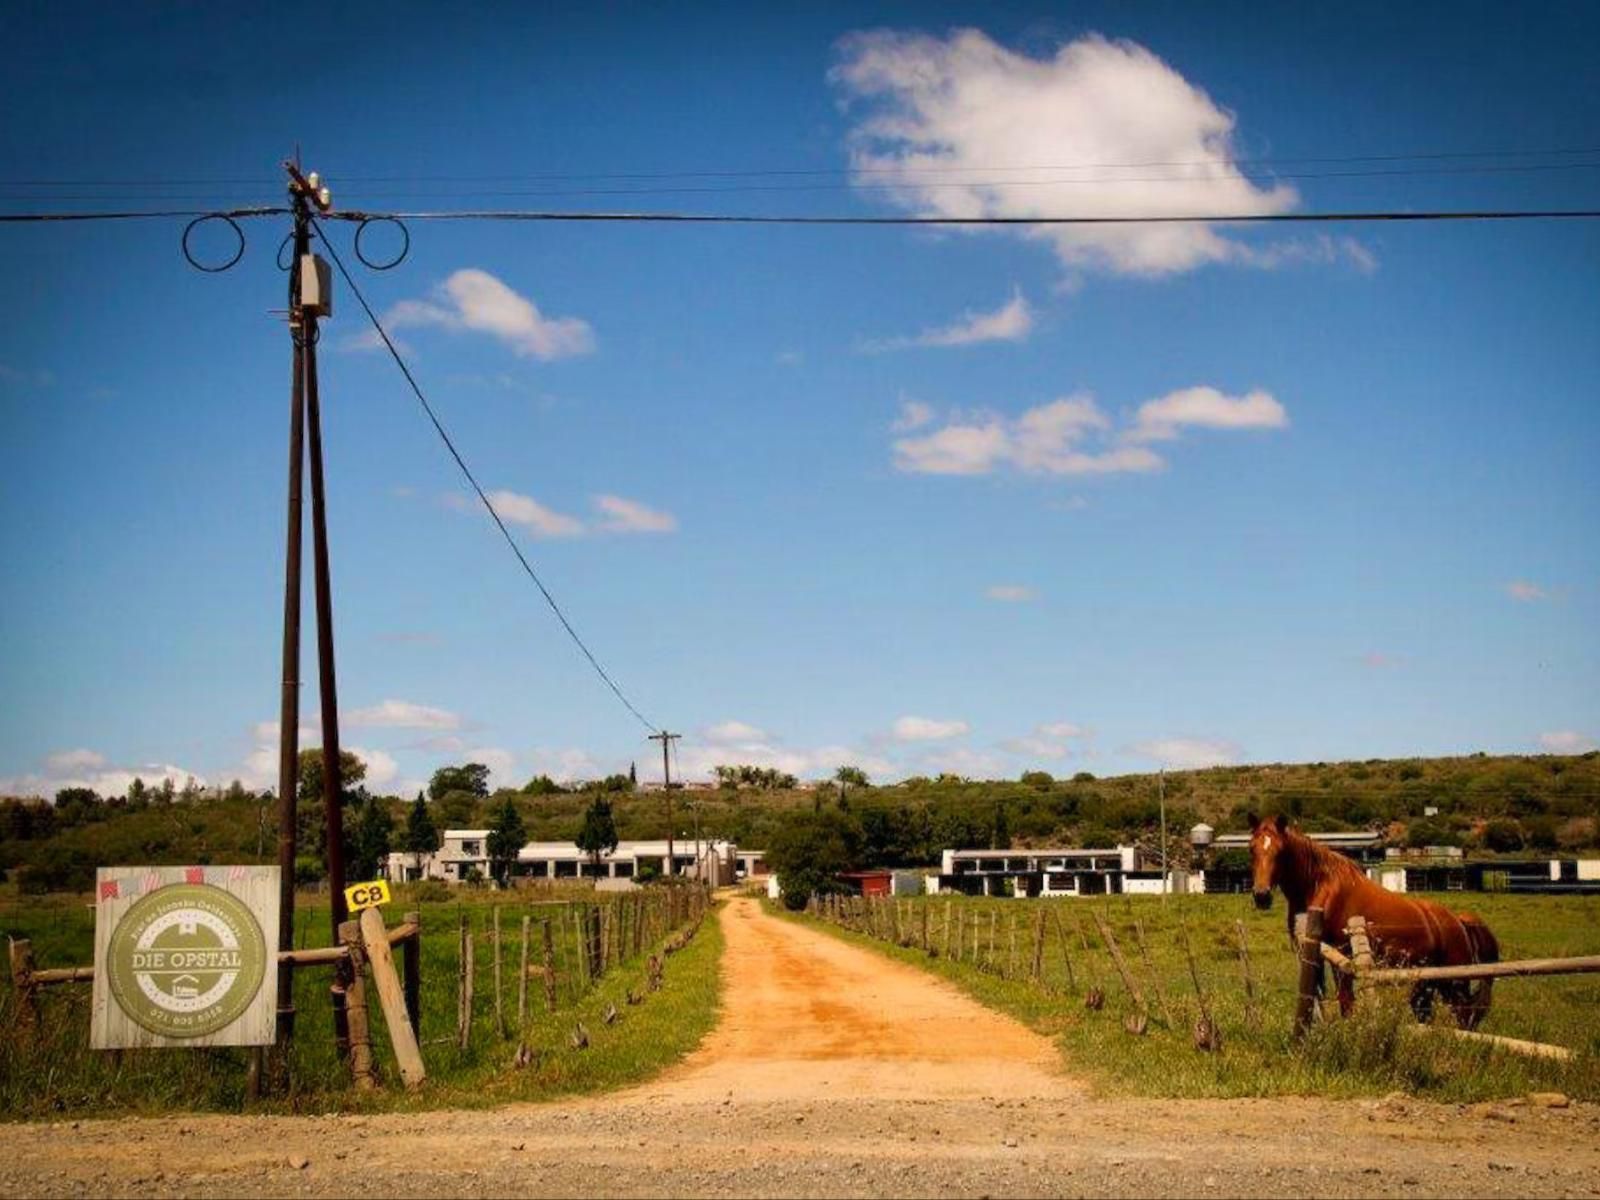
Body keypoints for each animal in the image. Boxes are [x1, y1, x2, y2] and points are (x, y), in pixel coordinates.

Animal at [1248, 819, 1497, 1036]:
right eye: (1252, 849)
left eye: (1281, 851)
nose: (1262, 896)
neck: (1322, 887)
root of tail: (1458, 921)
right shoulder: (1311, 953)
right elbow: (1316, 998)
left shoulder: (1343, 958)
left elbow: (1345, 1000)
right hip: (1427, 981)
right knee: (1428, 1013)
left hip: (1453, 983)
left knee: (1464, 1013)